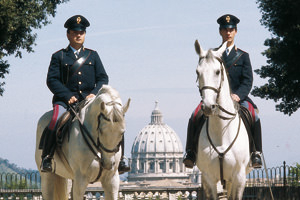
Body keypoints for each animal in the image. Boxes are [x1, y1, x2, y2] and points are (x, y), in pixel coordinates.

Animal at [195, 41, 253, 200]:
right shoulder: (208, 178)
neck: (221, 133)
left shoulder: (239, 177)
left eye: (217, 72)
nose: (208, 106)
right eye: (197, 72)